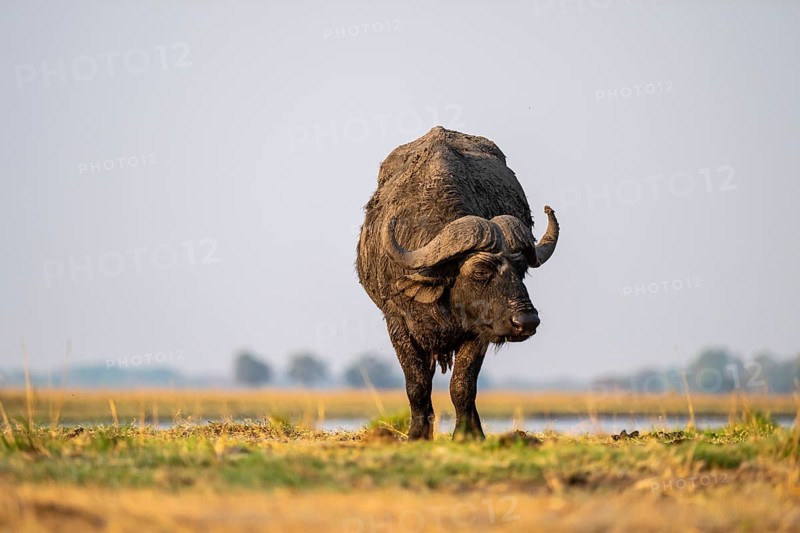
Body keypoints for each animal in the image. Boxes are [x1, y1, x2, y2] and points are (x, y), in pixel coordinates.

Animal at [356, 126, 560, 440]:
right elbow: (416, 383)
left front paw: (467, 434)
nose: (526, 321)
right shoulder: (397, 321)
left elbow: (463, 385)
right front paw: (418, 434)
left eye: (521, 268)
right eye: (479, 271)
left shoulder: (479, 330)